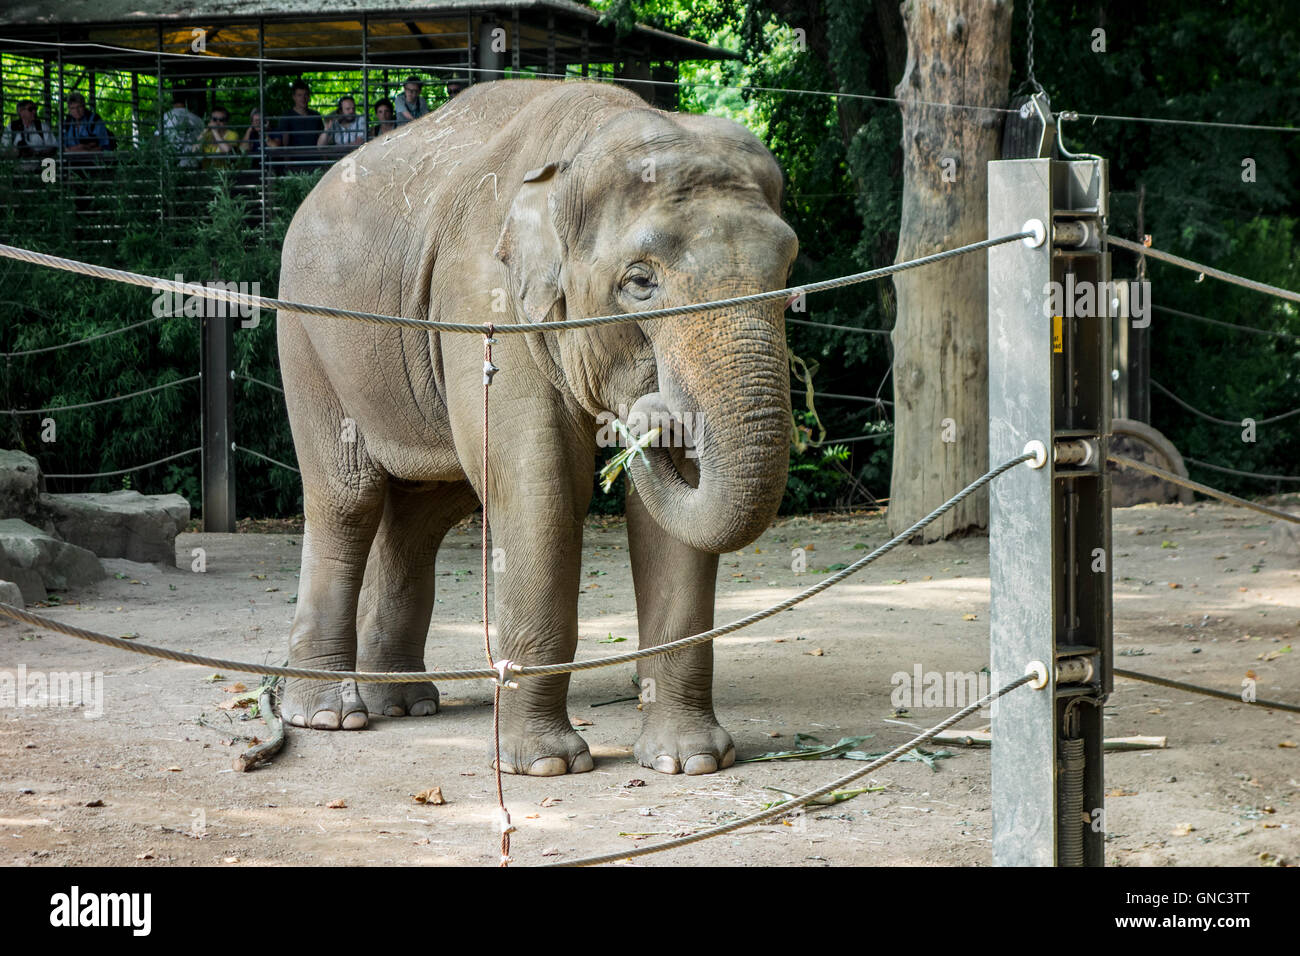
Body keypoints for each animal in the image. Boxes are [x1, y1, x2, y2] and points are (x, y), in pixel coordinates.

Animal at [275, 79, 797, 776]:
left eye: (788, 274)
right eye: (639, 281)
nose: (649, 416)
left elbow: (671, 519)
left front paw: (688, 762)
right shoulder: (485, 303)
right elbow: (539, 485)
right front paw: (546, 765)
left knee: (420, 515)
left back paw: (408, 704)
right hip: (308, 336)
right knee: (347, 499)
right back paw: (332, 715)